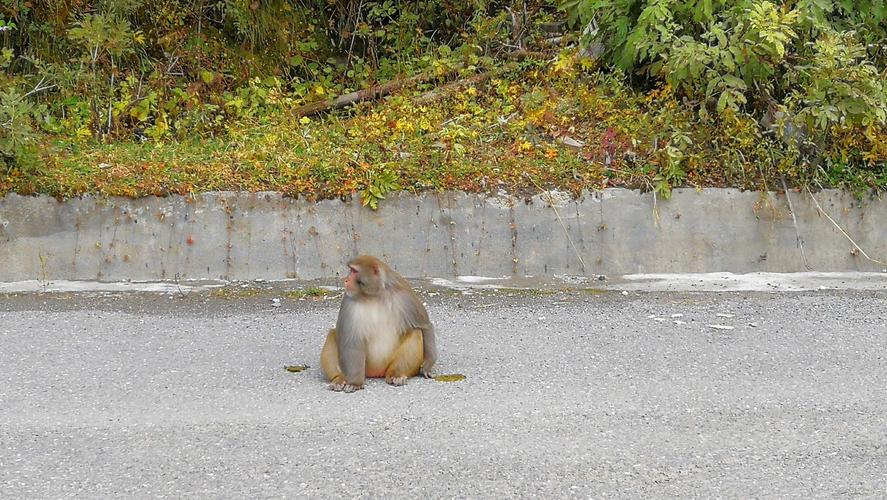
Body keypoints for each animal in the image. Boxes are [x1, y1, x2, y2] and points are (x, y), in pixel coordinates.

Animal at [322, 256, 440, 392]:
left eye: (354, 271)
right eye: (350, 270)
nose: (346, 280)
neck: (374, 295)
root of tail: (377, 372)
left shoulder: (405, 296)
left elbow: (425, 326)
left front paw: (428, 364)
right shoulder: (349, 301)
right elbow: (352, 342)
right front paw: (355, 382)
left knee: (415, 332)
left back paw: (396, 374)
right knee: (332, 335)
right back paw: (339, 378)